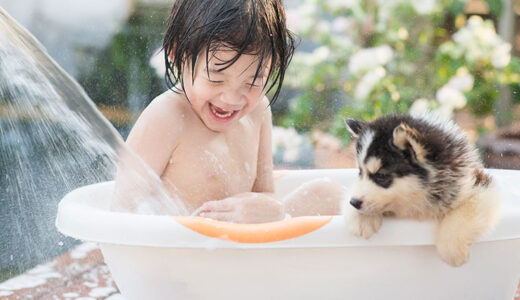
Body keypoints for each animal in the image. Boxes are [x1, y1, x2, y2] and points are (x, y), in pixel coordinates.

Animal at [346, 113, 500, 266]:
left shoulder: (479, 183)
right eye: (360, 172)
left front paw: (451, 248)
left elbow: (467, 209)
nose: (354, 203)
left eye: (381, 176)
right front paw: (362, 218)